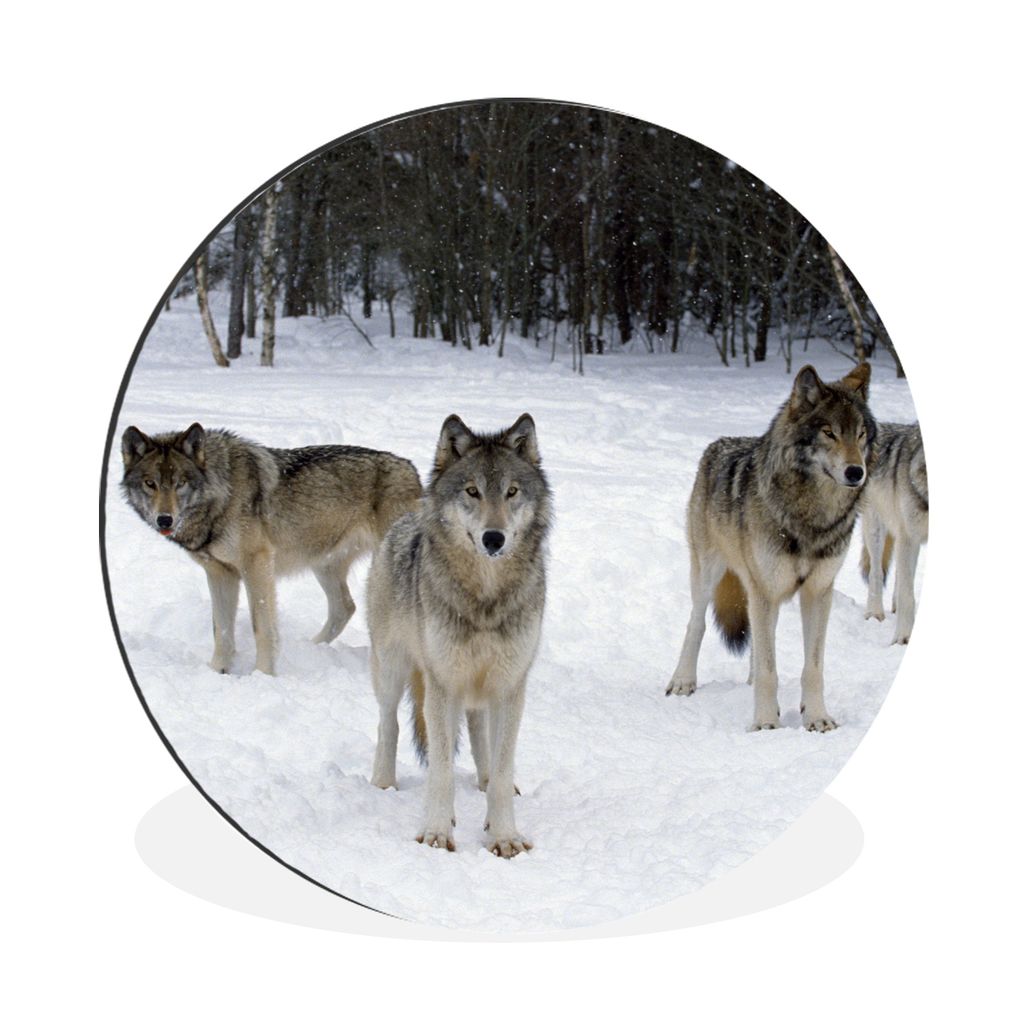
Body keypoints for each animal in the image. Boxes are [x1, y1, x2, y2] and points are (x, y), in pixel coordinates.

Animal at [120, 423, 422, 675]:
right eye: (150, 484)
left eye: (180, 483)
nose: (164, 520)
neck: (222, 494)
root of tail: (412, 469)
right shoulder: (220, 573)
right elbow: (221, 630)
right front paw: (218, 671)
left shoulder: (256, 565)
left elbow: (262, 628)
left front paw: (263, 675)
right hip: (323, 565)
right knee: (345, 607)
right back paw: (312, 648)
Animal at [367, 413, 551, 858]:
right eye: (472, 491)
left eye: (512, 492)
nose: (493, 538)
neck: (485, 596)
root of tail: (406, 517)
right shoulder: (442, 684)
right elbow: (442, 769)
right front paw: (436, 832)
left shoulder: (510, 685)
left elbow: (501, 768)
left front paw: (503, 835)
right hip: (394, 670)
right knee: (388, 723)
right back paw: (383, 784)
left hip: (477, 688)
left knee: (480, 733)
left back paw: (483, 784)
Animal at [665, 364, 875, 732]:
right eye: (829, 433)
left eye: (861, 434)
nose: (856, 472)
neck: (811, 516)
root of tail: (718, 444)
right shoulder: (765, 589)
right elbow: (768, 670)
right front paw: (765, 723)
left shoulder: (818, 591)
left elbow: (812, 668)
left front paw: (816, 718)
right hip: (710, 575)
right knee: (697, 624)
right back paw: (683, 681)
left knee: (759, 641)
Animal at [859, 422, 928, 644]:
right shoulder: (909, 537)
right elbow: (908, 596)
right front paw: (903, 638)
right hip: (876, 529)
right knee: (876, 572)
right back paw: (874, 614)